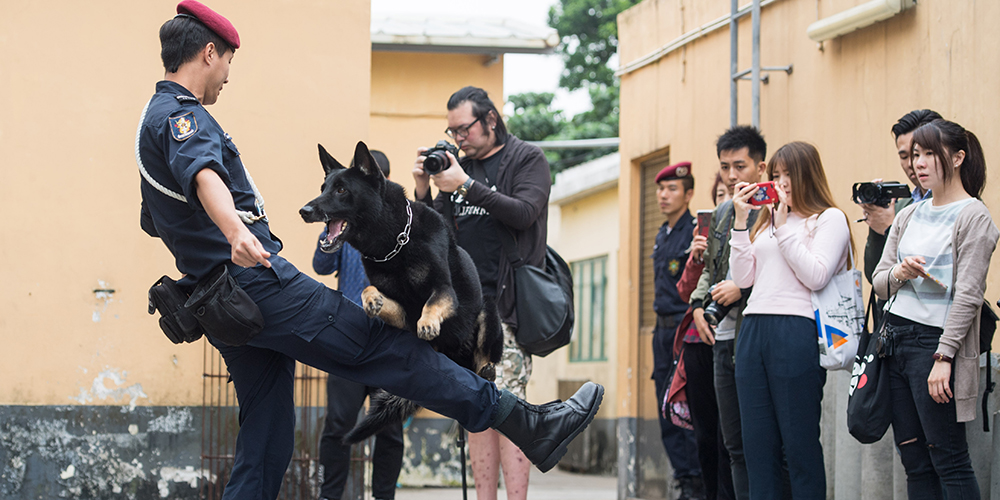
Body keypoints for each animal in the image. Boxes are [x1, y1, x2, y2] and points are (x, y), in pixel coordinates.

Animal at [294, 143, 500, 444]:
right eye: (324, 187)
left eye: (341, 190)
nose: (304, 210)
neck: (394, 242)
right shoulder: (402, 316)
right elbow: (370, 290)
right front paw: (372, 300)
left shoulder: (444, 290)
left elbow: (433, 302)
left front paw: (428, 322)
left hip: (489, 313)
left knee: (484, 365)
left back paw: (487, 369)